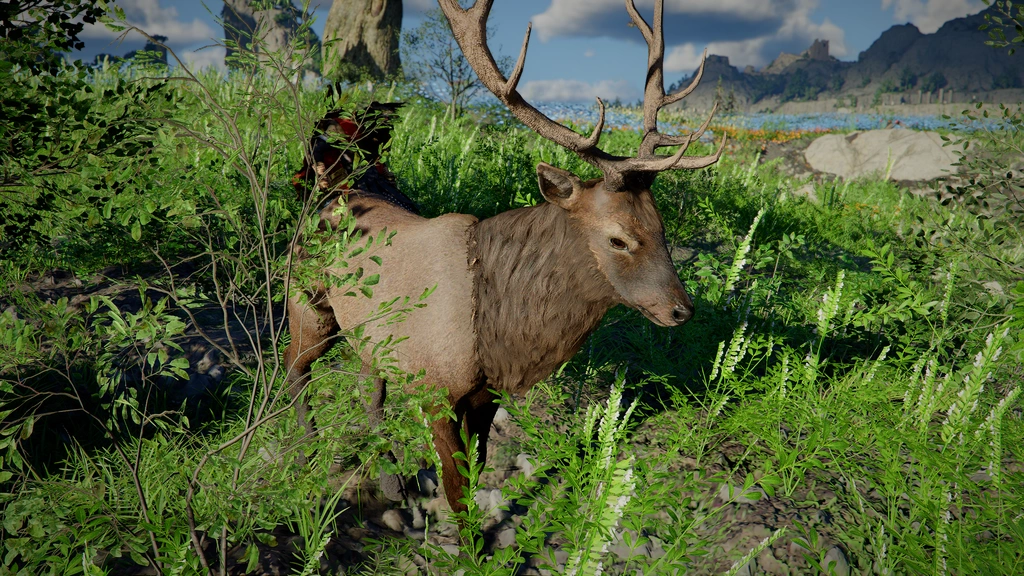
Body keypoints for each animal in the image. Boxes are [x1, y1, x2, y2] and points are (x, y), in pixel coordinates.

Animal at [283, 0, 726, 515]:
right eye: (618, 239)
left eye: (661, 228)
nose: (681, 309)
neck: (499, 335)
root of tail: (325, 181)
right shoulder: (436, 391)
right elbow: (458, 494)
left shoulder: (484, 393)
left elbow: (478, 468)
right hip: (307, 302)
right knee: (295, 367)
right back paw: (308, 454)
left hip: (372, 334)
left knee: (367, 386)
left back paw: (392, 483)